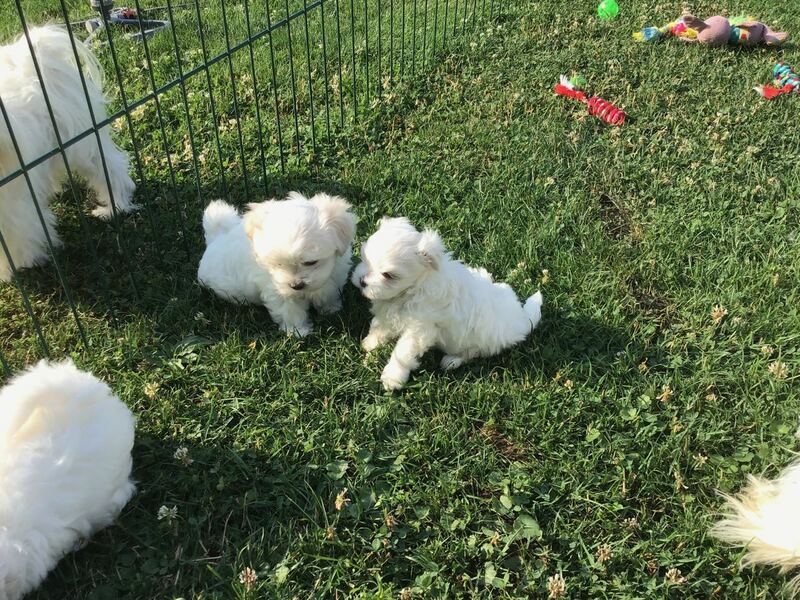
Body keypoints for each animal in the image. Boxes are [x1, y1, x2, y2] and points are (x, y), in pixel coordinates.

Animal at [198, 192, 357, 337]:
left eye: (311, 262)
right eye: (278, 264)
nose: (296, 285)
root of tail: (215, 240)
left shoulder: (335, 273)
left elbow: (328, 291)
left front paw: (331, 308)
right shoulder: (276, 288)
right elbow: (289, 309)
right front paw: (298, 331)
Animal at [352, 217, 543, 390]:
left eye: (388, 275)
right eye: (364, 259)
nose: (361, 281)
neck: (413, 288)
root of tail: (521, 320)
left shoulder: (419, 330)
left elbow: (403, 353)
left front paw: (392, 378)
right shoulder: (390, 314)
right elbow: (380, 328)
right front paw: (370, 343)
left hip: (483, 340)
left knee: (472, 352)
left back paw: (452, 361)